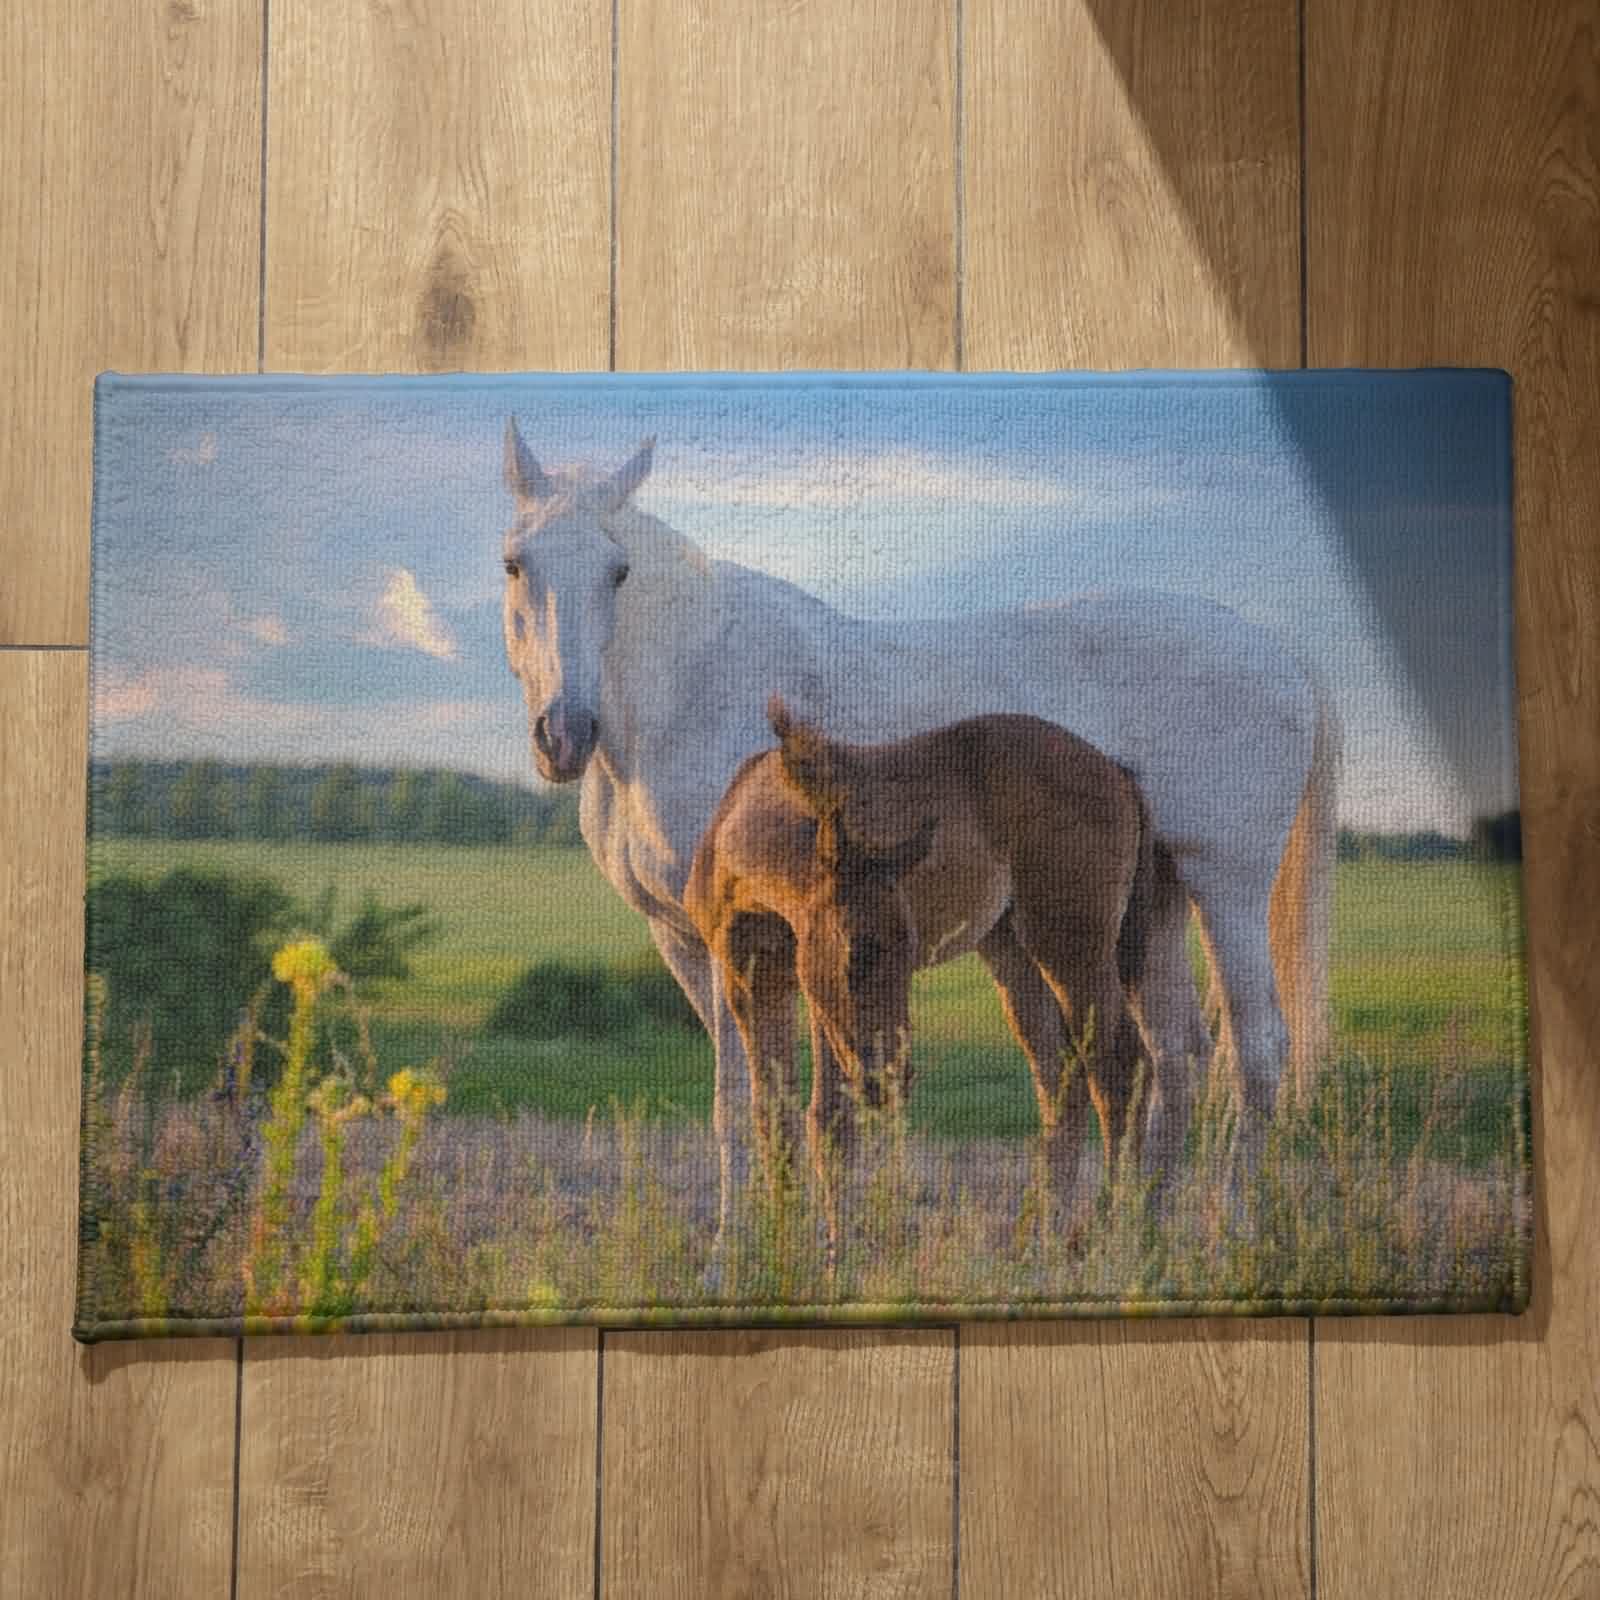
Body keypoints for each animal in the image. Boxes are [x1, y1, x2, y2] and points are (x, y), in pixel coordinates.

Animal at [684, 696, 1176, 1244]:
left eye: (910, 949)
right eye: (861, 952)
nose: (891, 1081)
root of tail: (1117, 771)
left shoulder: (814, 994)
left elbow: (830, 1121)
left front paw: (838, 1253)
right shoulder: (751, 983)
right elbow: (773, 1115)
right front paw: (780, 1248)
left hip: (1071, 943)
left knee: (1119, 1064)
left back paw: (1108, 1232)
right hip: (1009, 949)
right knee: (1060, 1076)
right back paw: (1036, 1238)